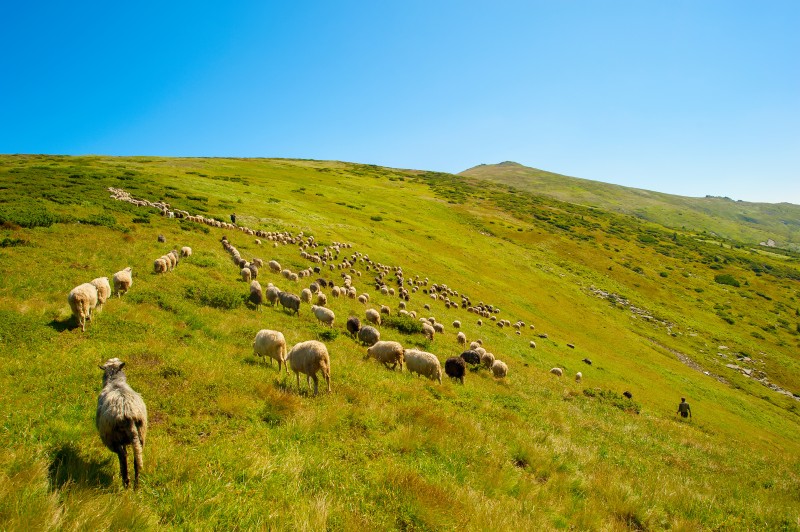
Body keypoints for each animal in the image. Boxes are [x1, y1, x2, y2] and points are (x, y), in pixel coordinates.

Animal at [95, 360, 148, 488]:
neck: (115, 383)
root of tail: (129, 414)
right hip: (140, 435)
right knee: (136, 459)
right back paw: (136, 486)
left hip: (113, 438)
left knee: (123, 456)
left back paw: (126, 482)